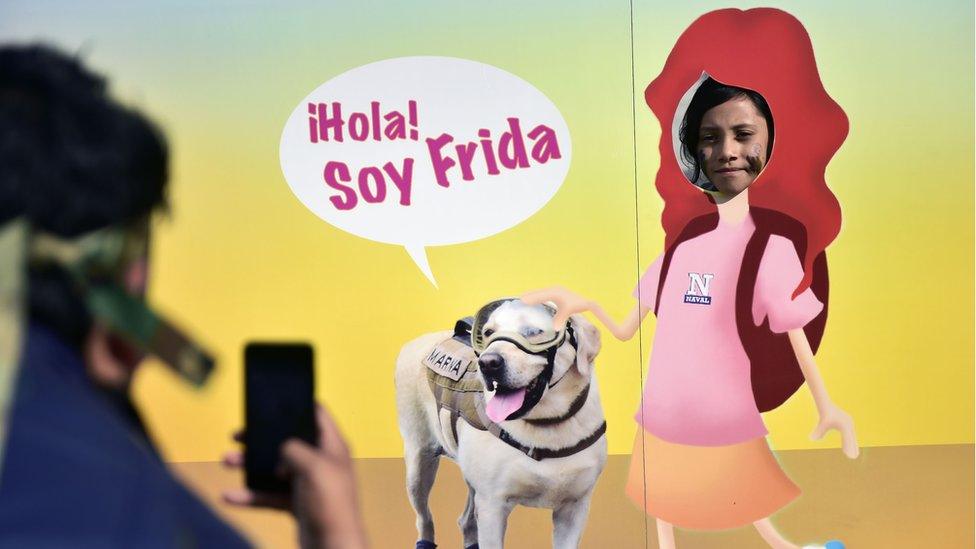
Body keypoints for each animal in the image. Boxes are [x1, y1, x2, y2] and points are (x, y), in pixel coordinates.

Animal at [394, 300, 604, 548]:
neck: (547, 425)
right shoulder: (492, 507)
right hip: (419, 464)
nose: (487, 363)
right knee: (423, 517)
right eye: (488, 332)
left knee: (465, 519)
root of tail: (414, 342)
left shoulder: (575, 508)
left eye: (534, 332)